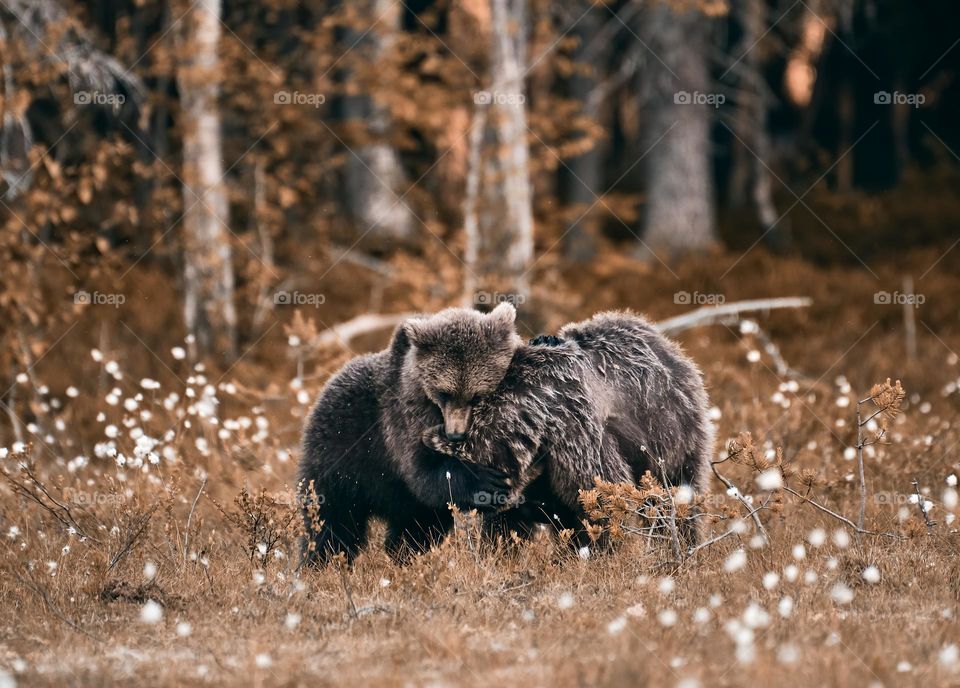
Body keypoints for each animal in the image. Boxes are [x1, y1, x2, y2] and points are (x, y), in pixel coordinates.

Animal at [298, 303, 520, 566]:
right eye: (444, 393)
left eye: (477, 396)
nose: (455, 434)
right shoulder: (403, 421)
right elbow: (422, 472)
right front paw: (486, 481)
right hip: (340, 455)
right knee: (332, 521)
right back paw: (322, 562)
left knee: (417, 527)